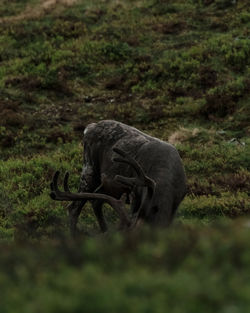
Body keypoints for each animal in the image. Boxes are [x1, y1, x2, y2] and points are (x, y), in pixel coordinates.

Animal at [49, 120, 187, 236]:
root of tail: (89, 127)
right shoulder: (136, 193)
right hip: (89, 168)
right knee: (73, 207)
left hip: (109, 186)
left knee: (96, 201)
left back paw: (104, 230)